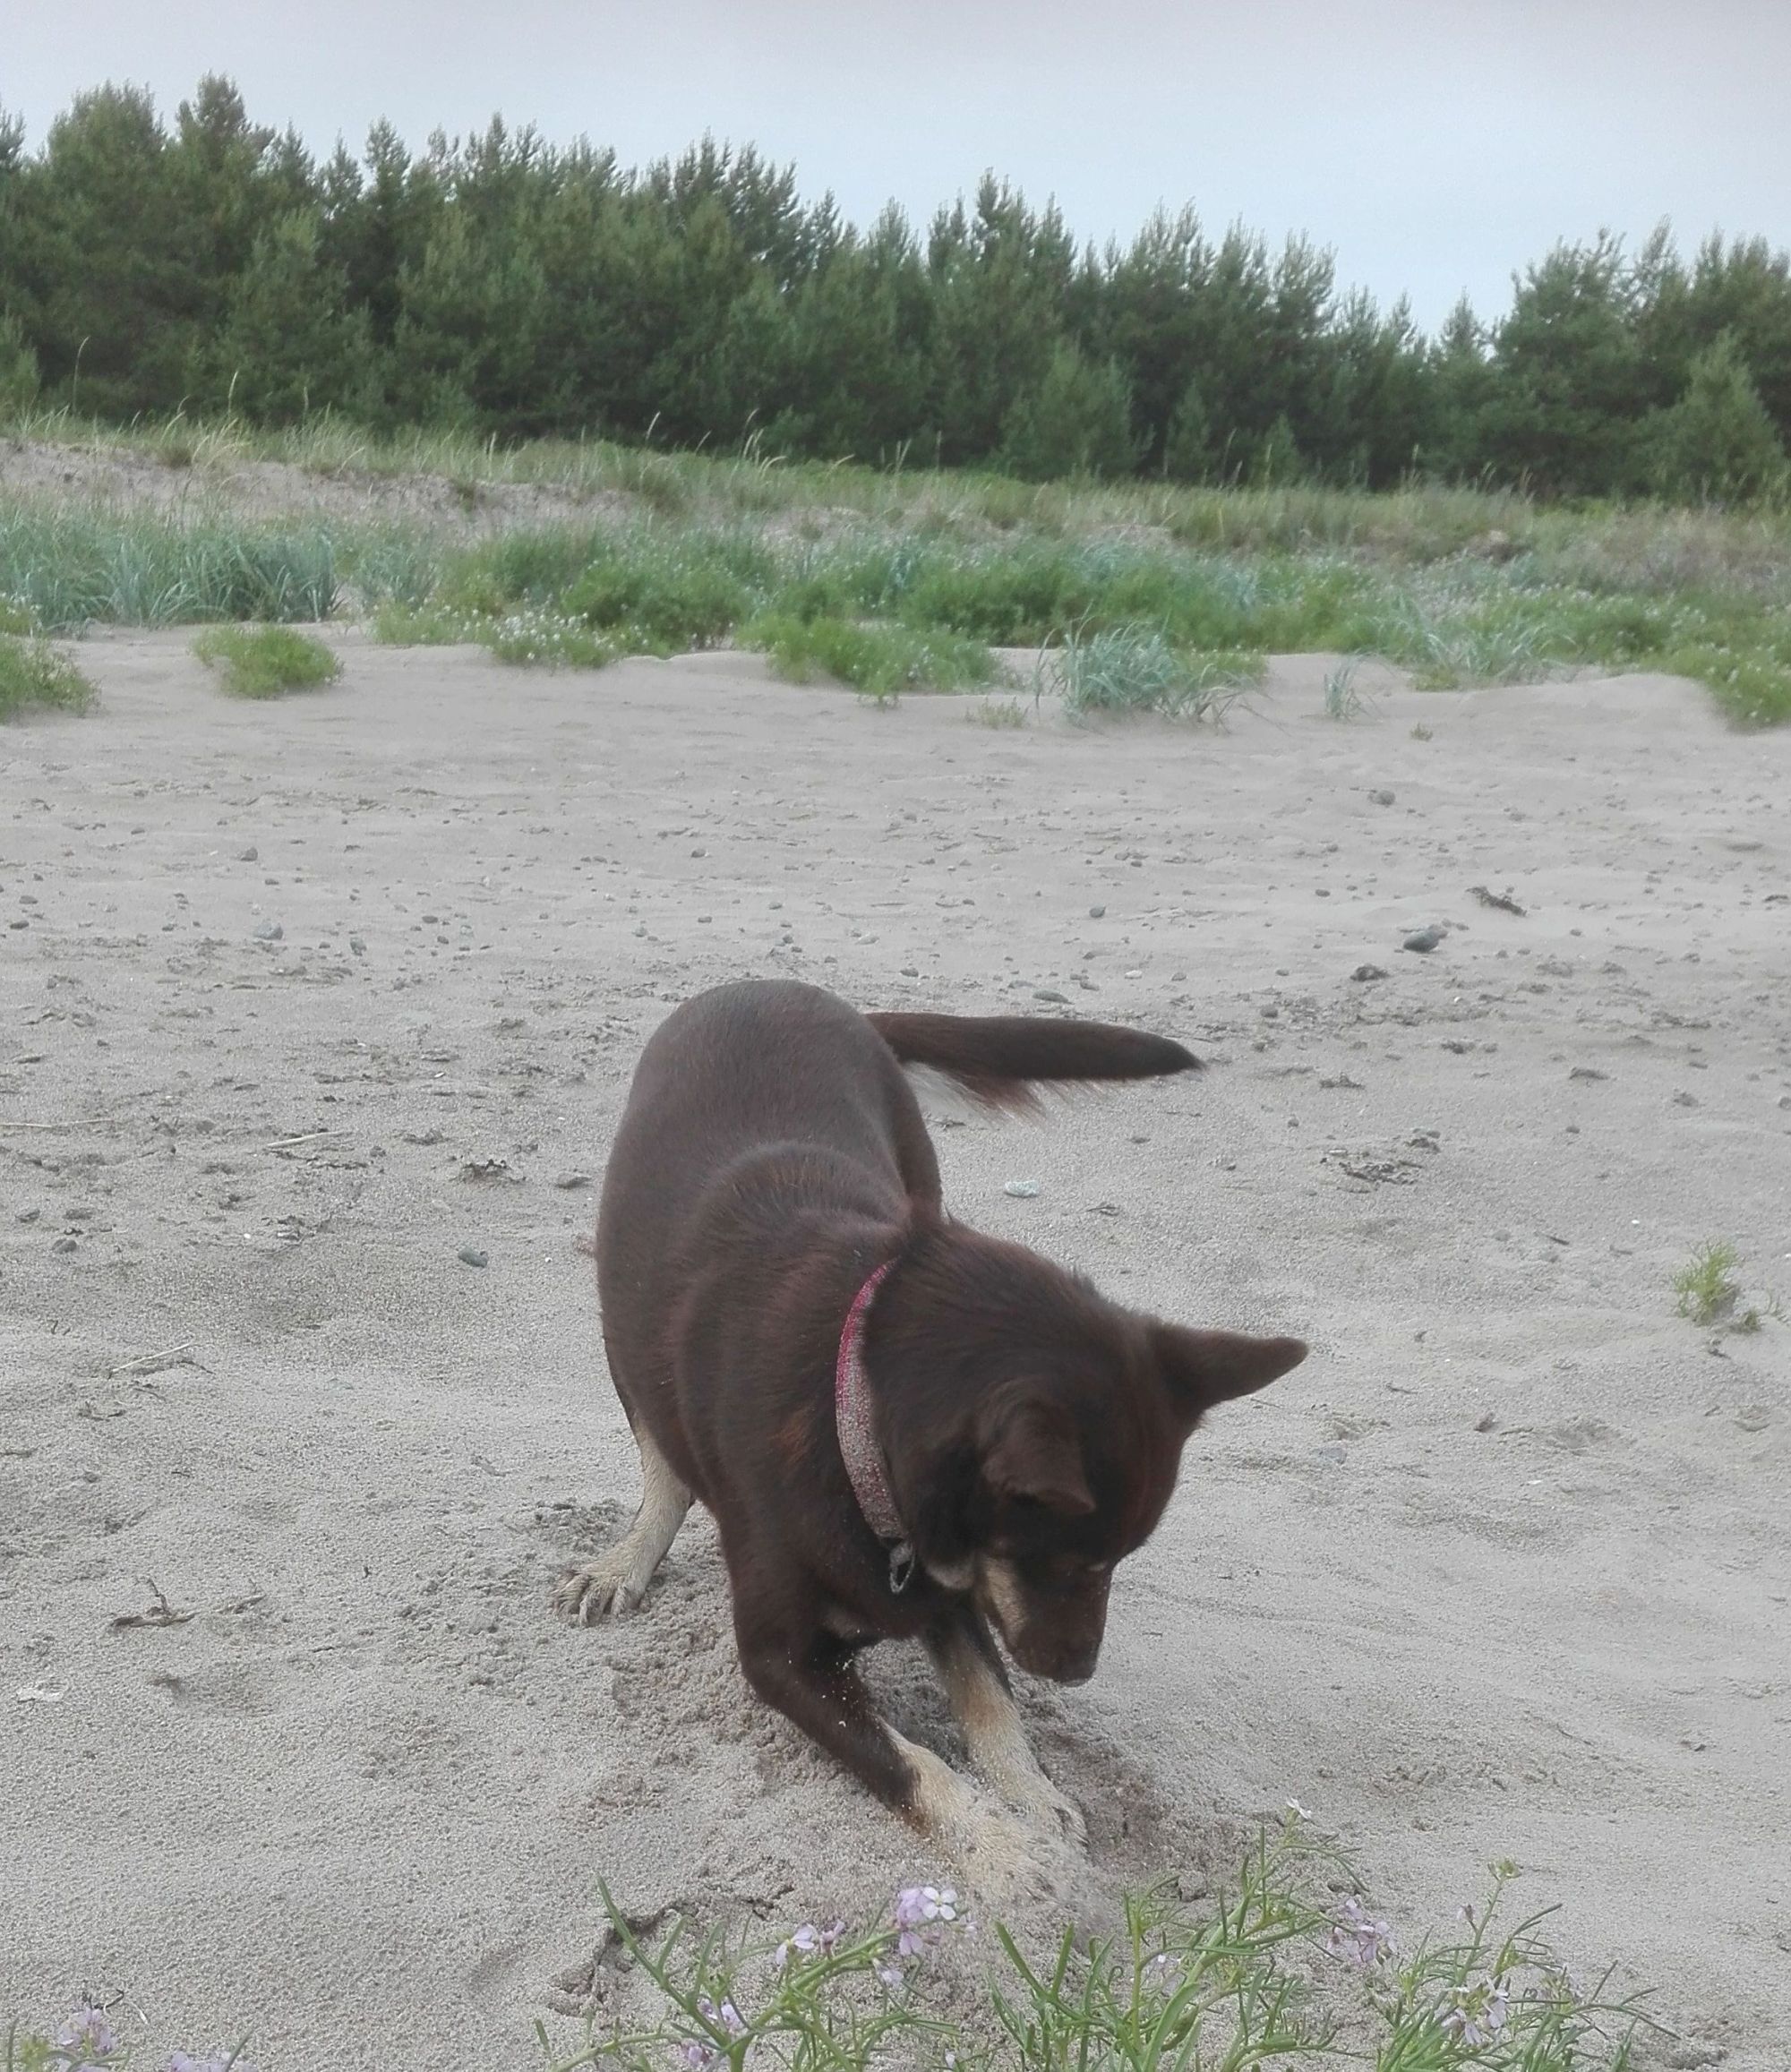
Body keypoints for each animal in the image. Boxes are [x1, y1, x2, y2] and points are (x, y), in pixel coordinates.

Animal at [568, 978, 1309, 1856]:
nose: (1078, 1672)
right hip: (620, 1328)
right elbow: (908, 1763)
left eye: (1117, 1561)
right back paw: (628, 1555)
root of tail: (777, 986)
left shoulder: (953, 1587)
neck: (850, 1404)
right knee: (661, 1460)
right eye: (1074, 1561)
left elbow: (988, 1693)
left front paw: (1031, 1794)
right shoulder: (780, 1656)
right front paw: (1005, 1855)